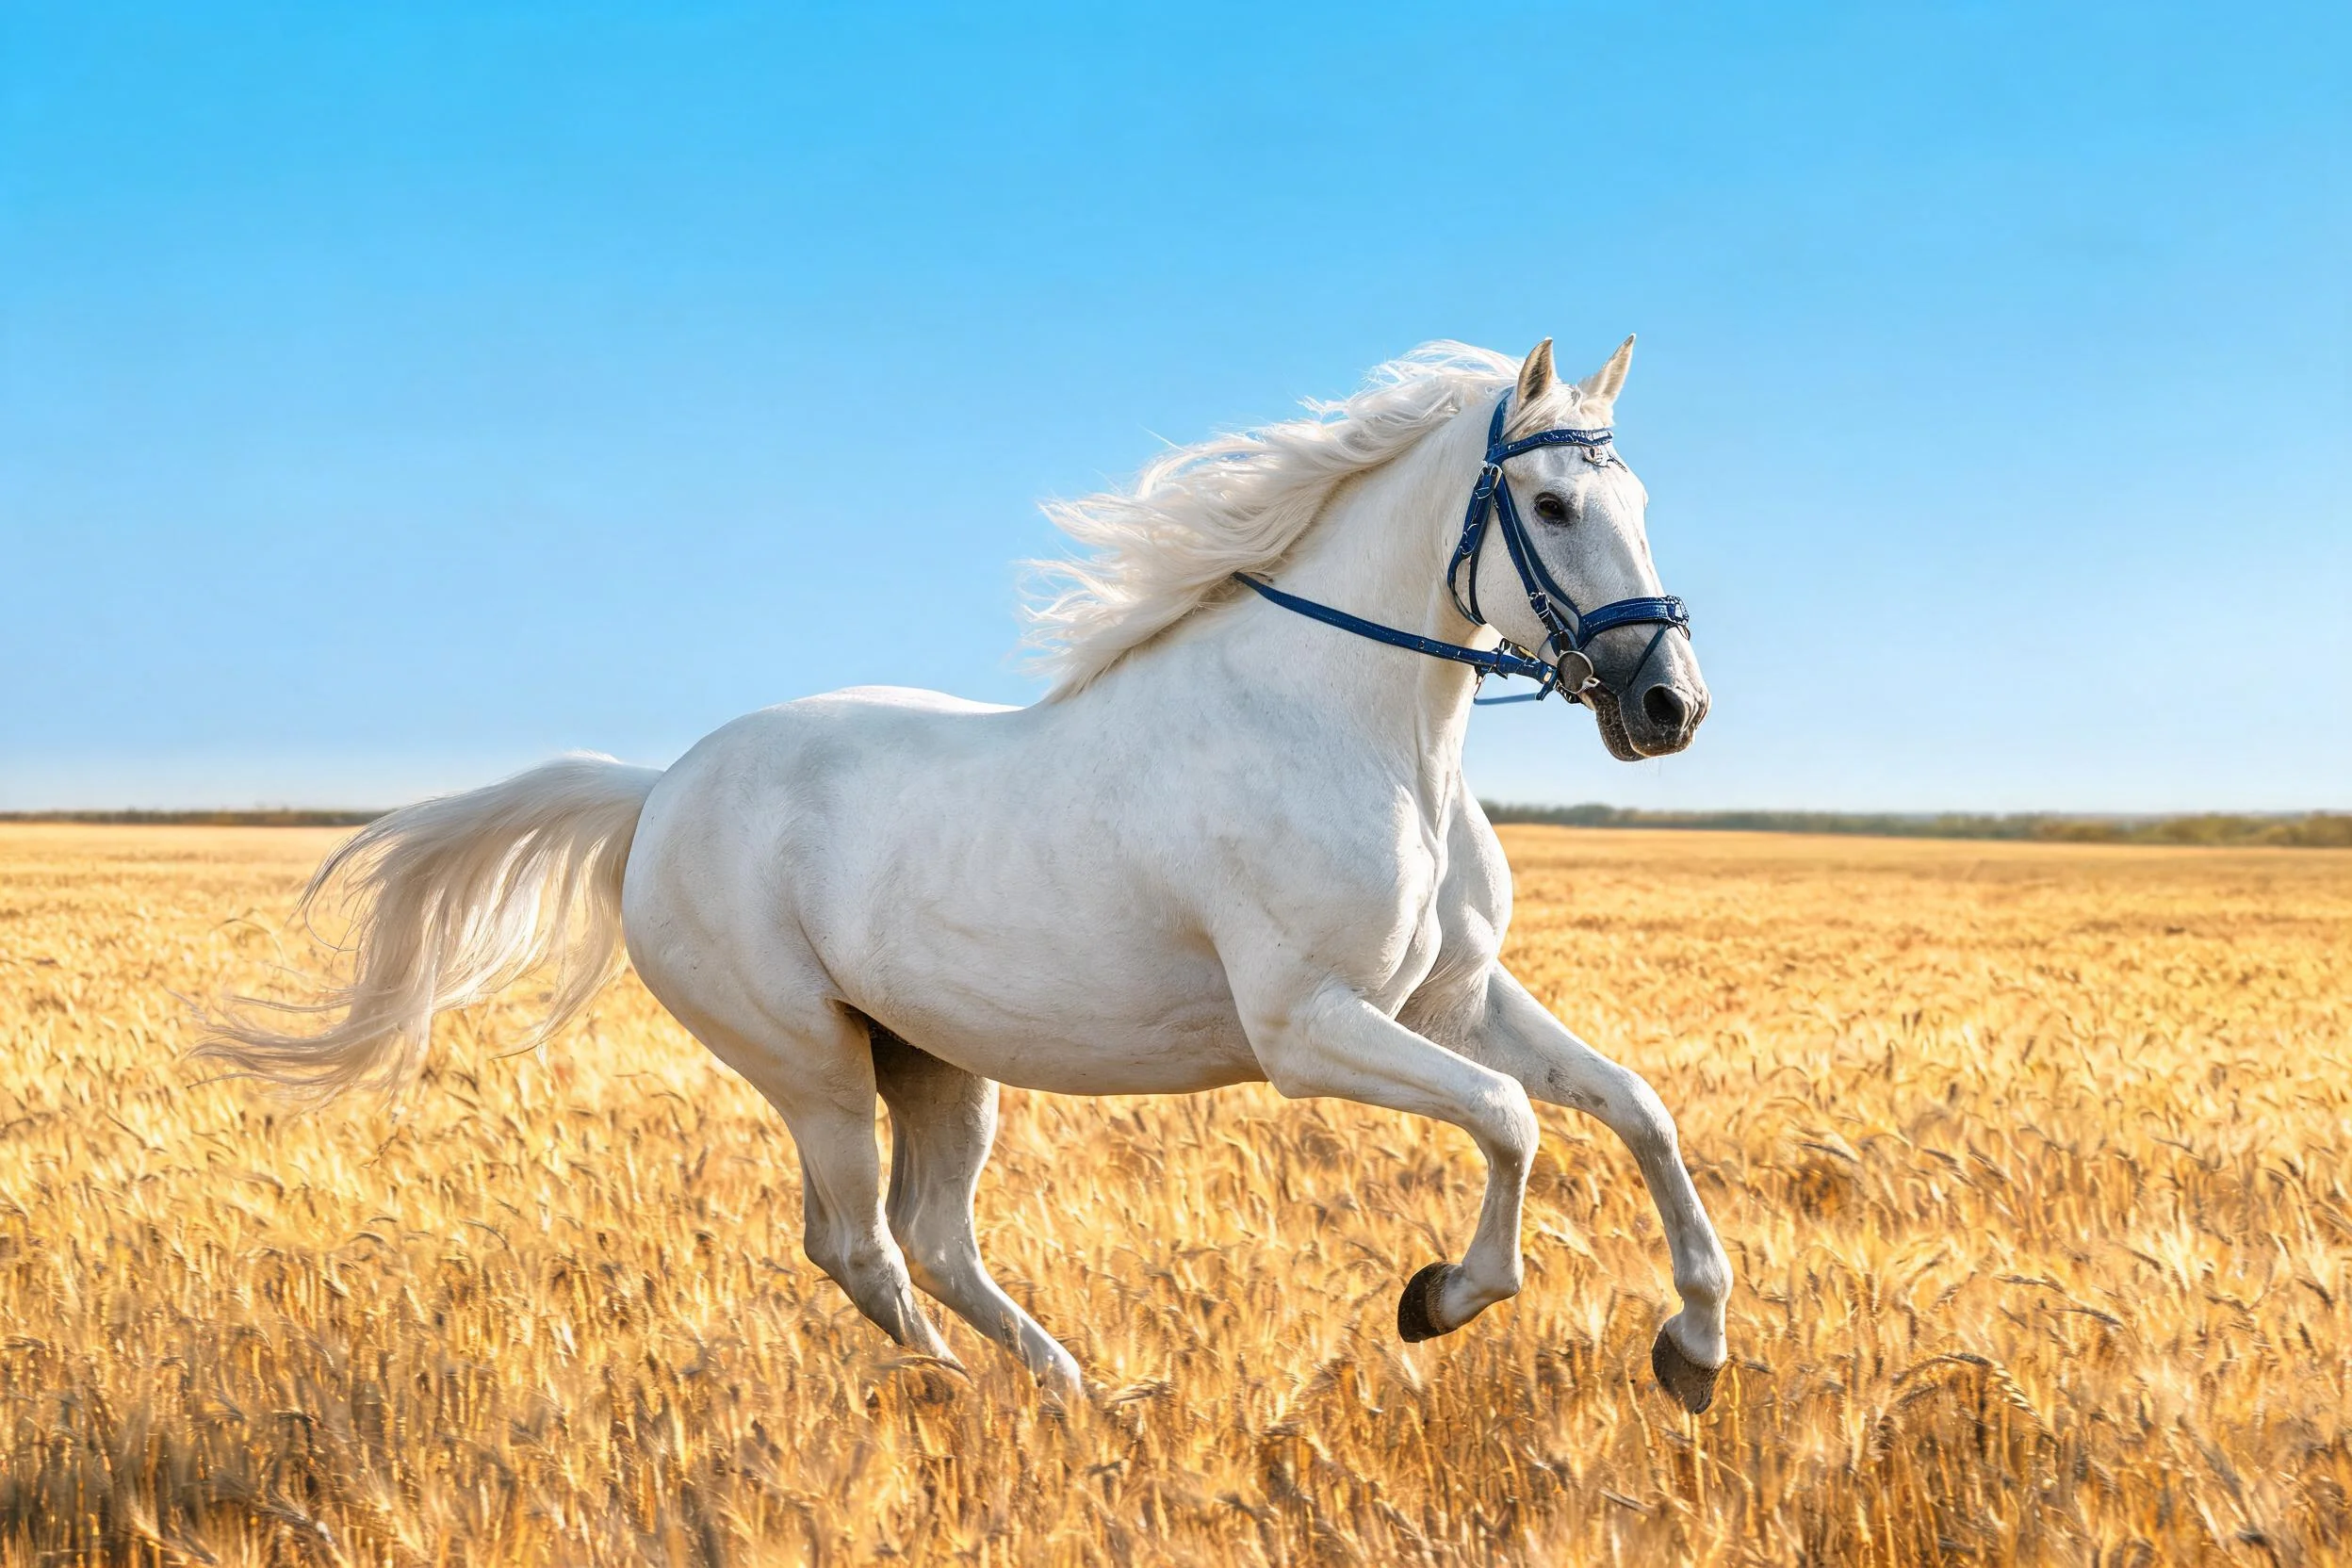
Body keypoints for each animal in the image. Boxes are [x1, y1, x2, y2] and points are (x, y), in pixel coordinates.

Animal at [202, 336, 1734, 1413]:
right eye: (1551, 501)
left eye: (1641, 495)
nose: (1669, 705)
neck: (1360, 736)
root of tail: (659, 793)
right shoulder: (1312, 1031)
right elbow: (1513, 1123)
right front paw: (1444, 1295)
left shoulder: (1450, 1000)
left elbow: (1636, 1108)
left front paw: (1695, 1346)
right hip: (813, 1067)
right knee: (857, 1245)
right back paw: (953, 1392)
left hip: (937, 1061)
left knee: (933, 1237)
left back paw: (1077, 1393)